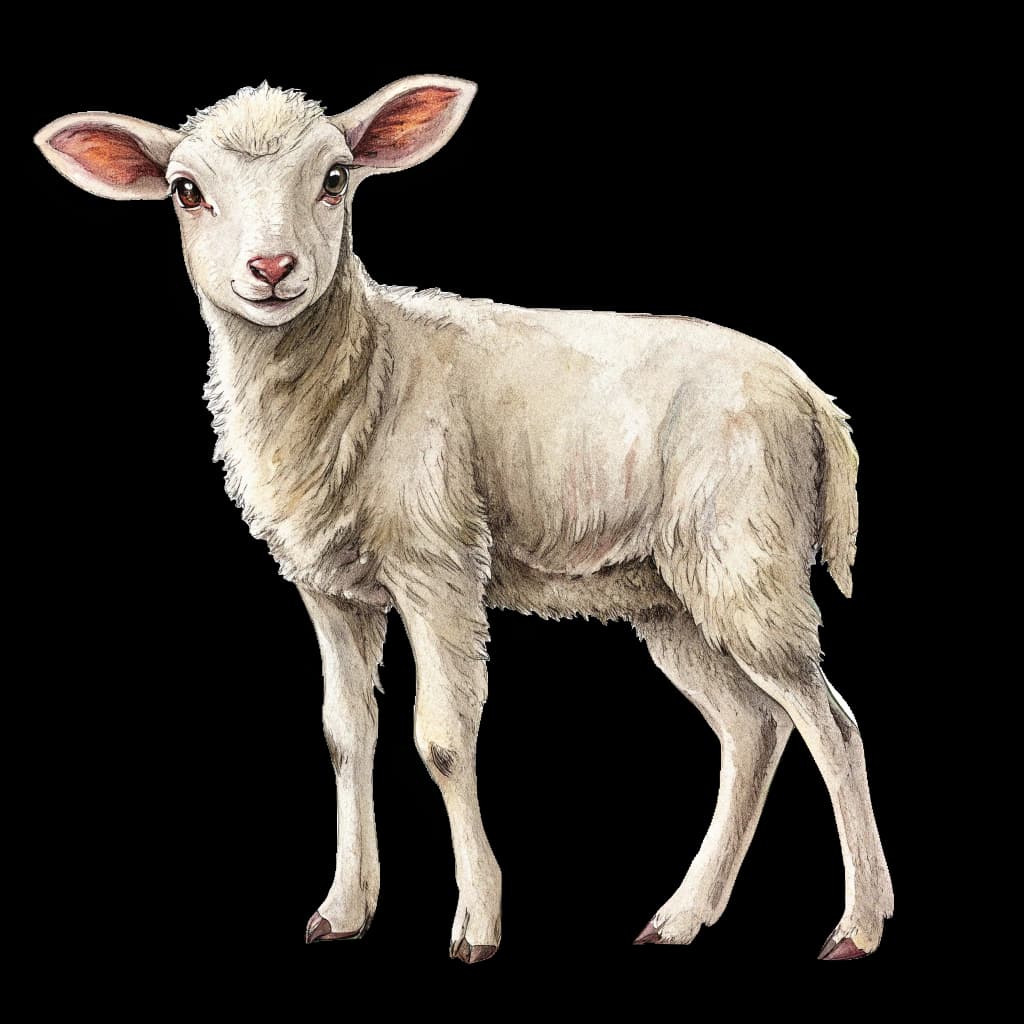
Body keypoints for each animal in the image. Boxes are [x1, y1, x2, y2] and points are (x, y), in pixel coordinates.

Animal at [35, 75, 893, 963]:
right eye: (186, 191)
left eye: (336, 178)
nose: (271, 269)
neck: (365, 370)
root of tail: (814, 401)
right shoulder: (330, 588)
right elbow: (346, 734)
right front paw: (343, 910)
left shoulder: (437, 565)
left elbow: (442, 740)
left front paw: (477, 922)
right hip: (671, 595)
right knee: (755, 729)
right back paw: (681, 916)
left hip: (747, 559)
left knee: (833, 725)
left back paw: (857, 926)